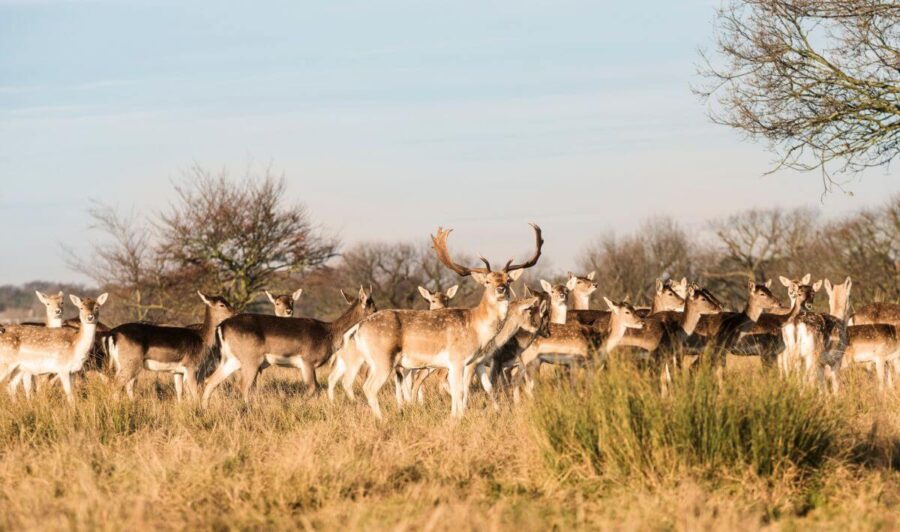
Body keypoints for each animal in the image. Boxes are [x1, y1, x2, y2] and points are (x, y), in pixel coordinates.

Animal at [106, 294, 236, 402]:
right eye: (221, 304)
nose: (234, 313)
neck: (202, 338)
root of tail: (114, 334)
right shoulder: (191, 367)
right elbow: (194, 394)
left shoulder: (177, 371)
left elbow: (179, 391)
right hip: (130, 364)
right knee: (116, 385)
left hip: (125, 365)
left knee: (127, 385)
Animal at [202, 286, 374, 408]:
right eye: (373, 307)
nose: (378, 315)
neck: (329, 334)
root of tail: (222, 326)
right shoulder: (307, 361)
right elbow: (314, 388)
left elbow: (317, 388)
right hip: (251, 359)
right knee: (242, 386)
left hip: (232, 359)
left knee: (211, 380)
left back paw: (205, 409)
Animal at [346, 222, 540, 418]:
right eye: (487, 281)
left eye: (508, 280)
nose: (501, 289)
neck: (476, 327)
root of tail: (359, 327)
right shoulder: (457, 358)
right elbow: (460, 391)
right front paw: (458, 418)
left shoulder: (471, 362)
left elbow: (473, 388)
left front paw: (456, 416)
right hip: (383, 358)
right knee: (369, 387)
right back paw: (382, 418)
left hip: (375, 361)